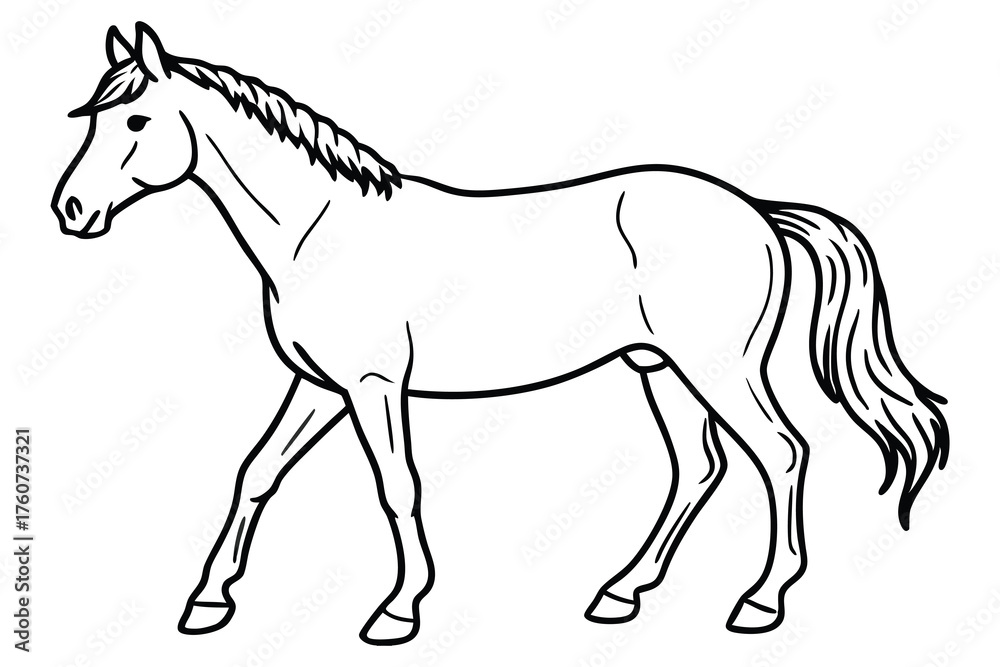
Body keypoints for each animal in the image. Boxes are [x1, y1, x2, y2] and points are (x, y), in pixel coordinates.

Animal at [51, 23, 949, 646]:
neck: (322, 231)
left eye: (136, 120)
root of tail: (757, 211)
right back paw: (621, 593)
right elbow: (255, 472)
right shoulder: (317, 386)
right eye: (94, 116)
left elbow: (396, 486)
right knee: (700, 467)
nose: (70, 210)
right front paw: (208, 602)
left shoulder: (375, 387)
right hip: (660, 369)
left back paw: (760, 601)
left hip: (717, 368)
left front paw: (398, 611)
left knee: (781, 452)